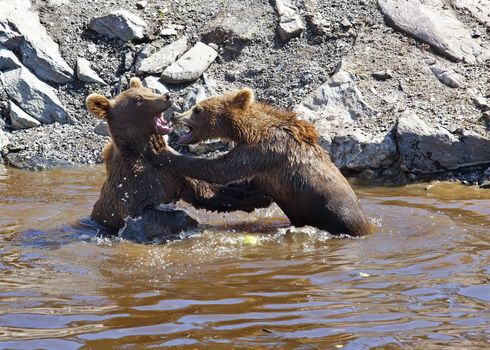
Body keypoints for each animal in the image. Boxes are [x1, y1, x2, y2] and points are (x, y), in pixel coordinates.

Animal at [86, 80, 274, 241]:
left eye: (149, 90)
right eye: (138, 99)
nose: (167, 96)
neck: (144, 153)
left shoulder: (174, 172)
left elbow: (209, 192)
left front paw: (260, 195)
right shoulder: (132, 187)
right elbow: (147, 214)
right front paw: (188, 220)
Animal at [149, 87, 372, 237]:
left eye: (197, 109)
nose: (176, 114)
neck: (247, 130)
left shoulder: (262, 151)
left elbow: (222, 169)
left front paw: (161, 152)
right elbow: (241, 186)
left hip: (332, 212)